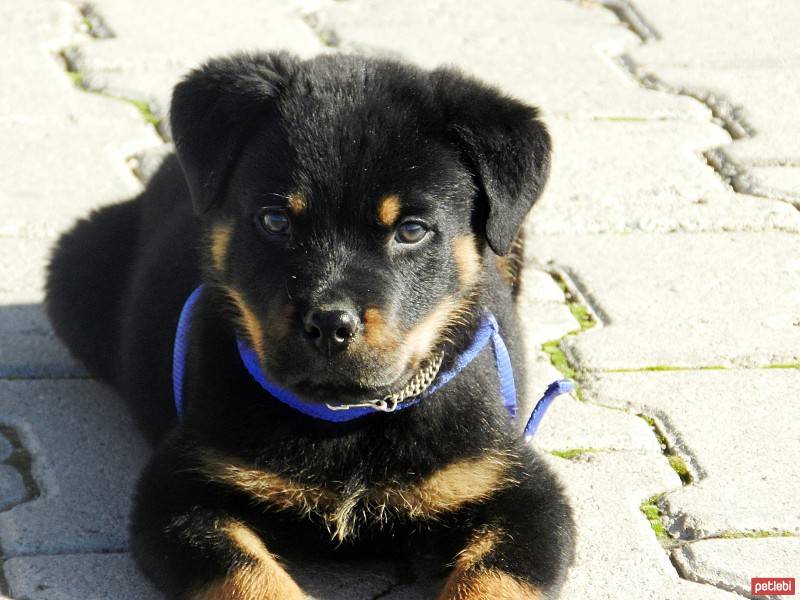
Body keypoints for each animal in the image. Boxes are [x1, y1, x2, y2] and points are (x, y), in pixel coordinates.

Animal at [45, 52, 576, 600]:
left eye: (411, 230)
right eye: (275, 220)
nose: (329, 324)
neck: (346, 417)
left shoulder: (516, 488)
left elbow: (492, 579)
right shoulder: (180, 488)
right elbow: (249, 574)